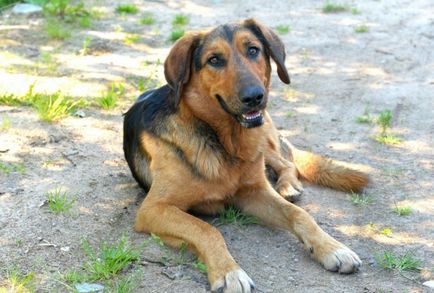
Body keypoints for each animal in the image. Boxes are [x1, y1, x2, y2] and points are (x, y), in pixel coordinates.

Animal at [124, 18, 368, 292]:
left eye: (253, 50)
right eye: (214, 60)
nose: (254, 97)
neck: (224, 142)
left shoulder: (253, 192)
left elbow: (299, 214)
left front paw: (332, 248)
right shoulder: (154, 209)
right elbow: (206, 229)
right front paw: (228, 272)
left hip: (264, 141)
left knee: (286, 163)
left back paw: (288, 186)